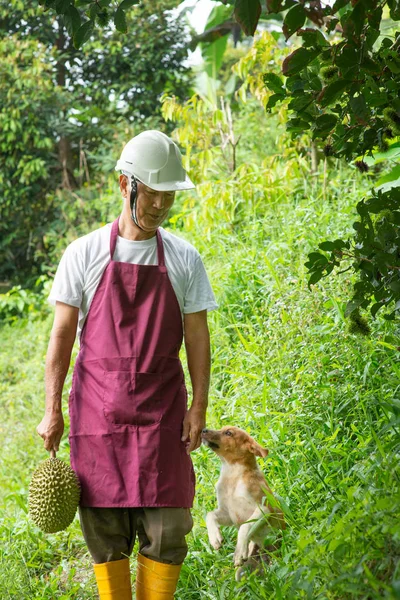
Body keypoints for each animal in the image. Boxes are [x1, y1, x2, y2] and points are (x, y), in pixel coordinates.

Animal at [203, 424, 284, 580]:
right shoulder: (227, 513)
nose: (203, 430)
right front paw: (214, 537)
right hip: (241, 572)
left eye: (228, 433)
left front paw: (240, 551)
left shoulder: (264, 508)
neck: (232, 476)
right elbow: (210, 514)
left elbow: (244, 527)